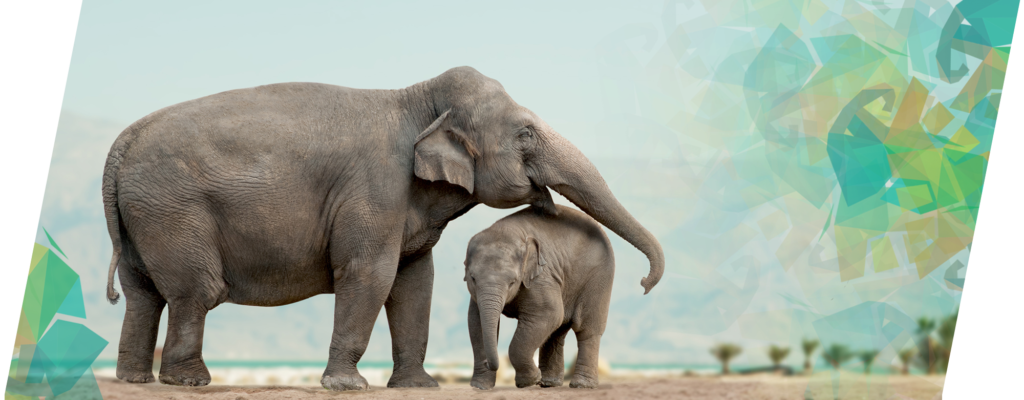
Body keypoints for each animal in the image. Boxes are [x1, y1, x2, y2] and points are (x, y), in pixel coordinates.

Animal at [464, 204, 617, 390]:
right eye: (473, 278)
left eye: (512, 282)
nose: (488, 362)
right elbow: (475, 321)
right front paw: (479, 387)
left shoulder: (541, 277)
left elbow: (549, 313)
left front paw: (529, 381)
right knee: (557, 331)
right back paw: (549, 383)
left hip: (599, 277)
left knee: (586, 329)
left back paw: (581, 385)